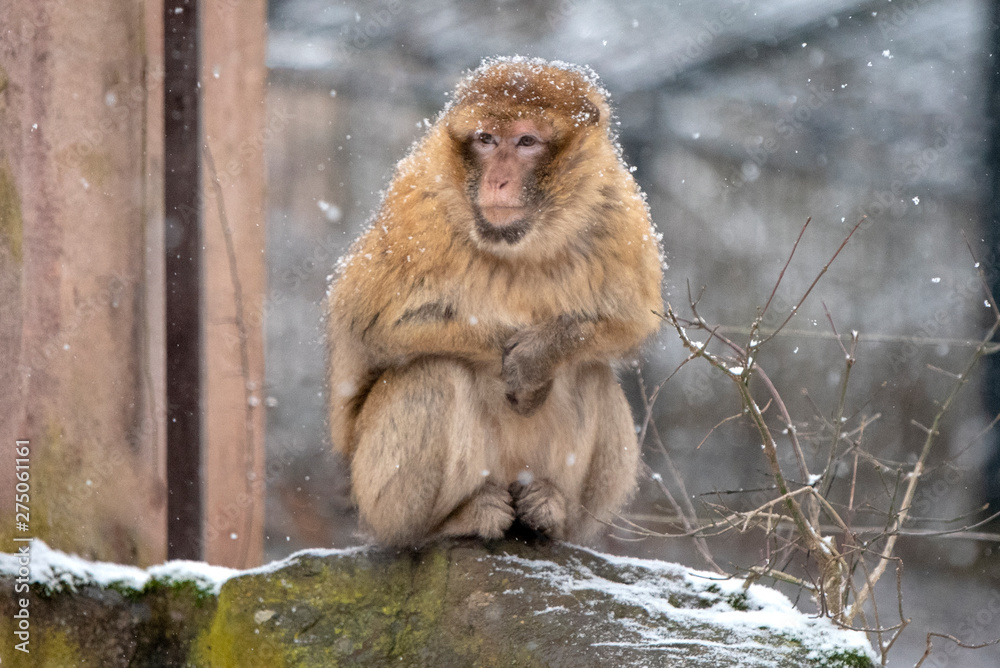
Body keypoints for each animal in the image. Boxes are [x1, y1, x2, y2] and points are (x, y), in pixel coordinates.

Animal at [326, 56, 664, 548]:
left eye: (526, 142)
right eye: (486, 139)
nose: (497, 181)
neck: (523, 240)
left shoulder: (618, 210)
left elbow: (632, 322)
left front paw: (539, 356)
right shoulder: (417, 208)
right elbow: (369, 324)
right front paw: (509, 354)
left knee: (592, 373)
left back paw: (550, 513)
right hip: (375, 499)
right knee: (435, 373)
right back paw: (446, 525)